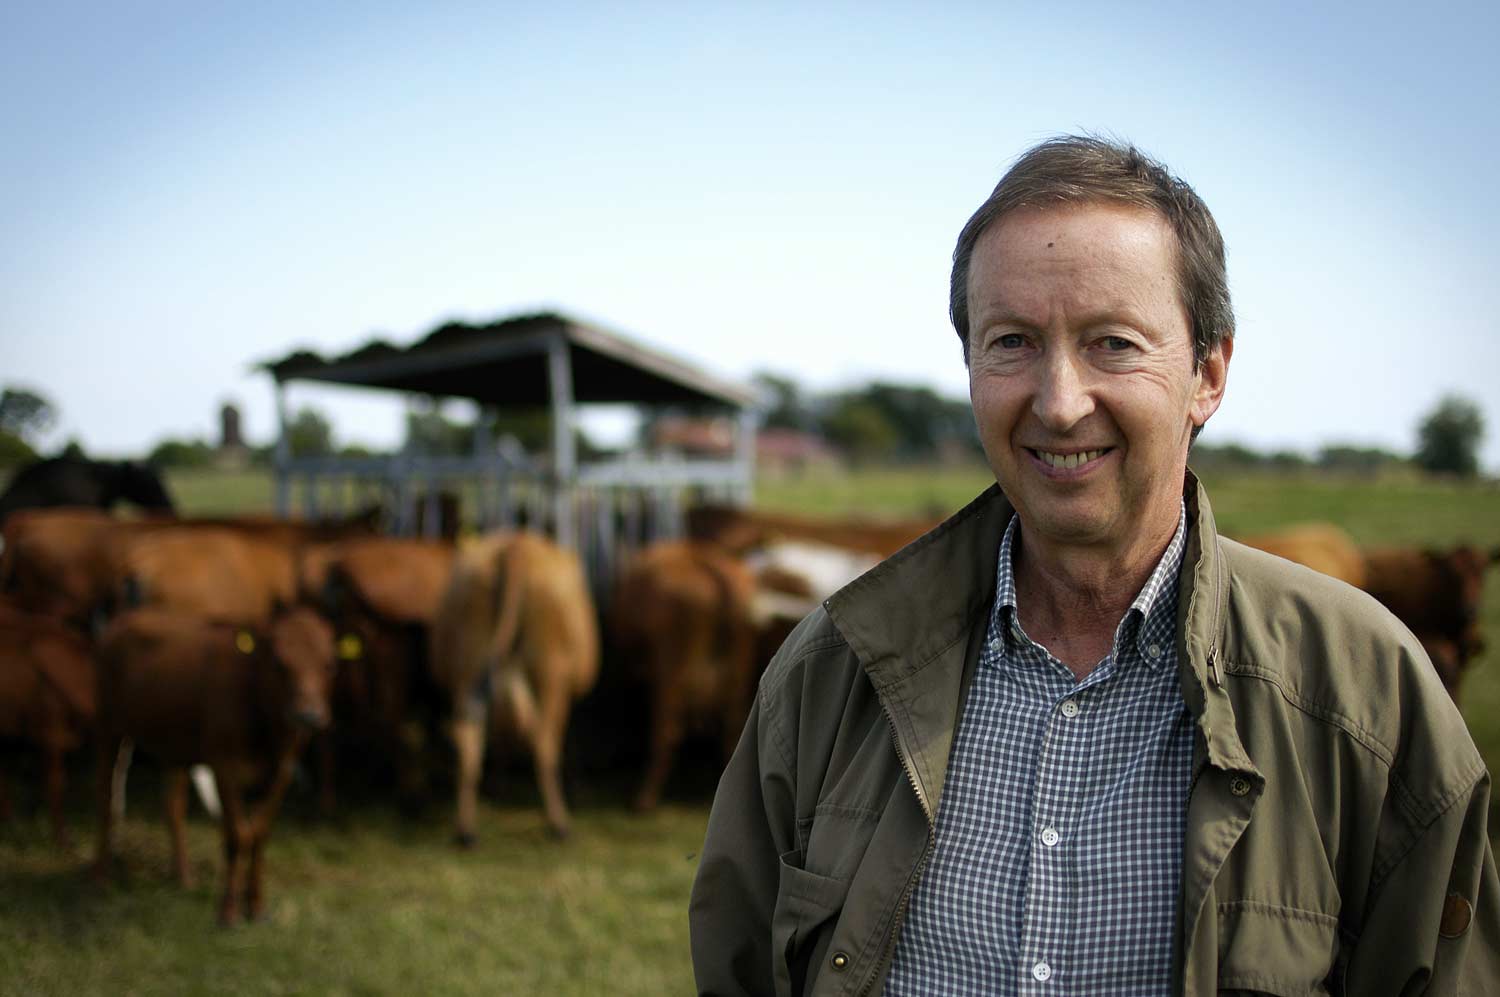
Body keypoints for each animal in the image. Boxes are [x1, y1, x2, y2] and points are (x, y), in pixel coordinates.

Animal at [96, 602, 337, 923]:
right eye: (279, 663)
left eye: (329, 664)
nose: (308, 715)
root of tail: (125, 617)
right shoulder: (225, 766)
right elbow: (236, 835)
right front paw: (229, 911)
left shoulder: (280, 773)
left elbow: (259, 835)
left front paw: (256, 906)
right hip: (108, 727)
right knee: (106, 799)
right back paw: (101, 877)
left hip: (172, 744)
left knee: (173, 806)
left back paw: (183, 877)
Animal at [429, 527, 597, 839]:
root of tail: (513, 547)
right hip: (550, 671)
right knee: (544, 741)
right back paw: (559, 823)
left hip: (468, 664)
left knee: (469, 738)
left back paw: (466, 829)